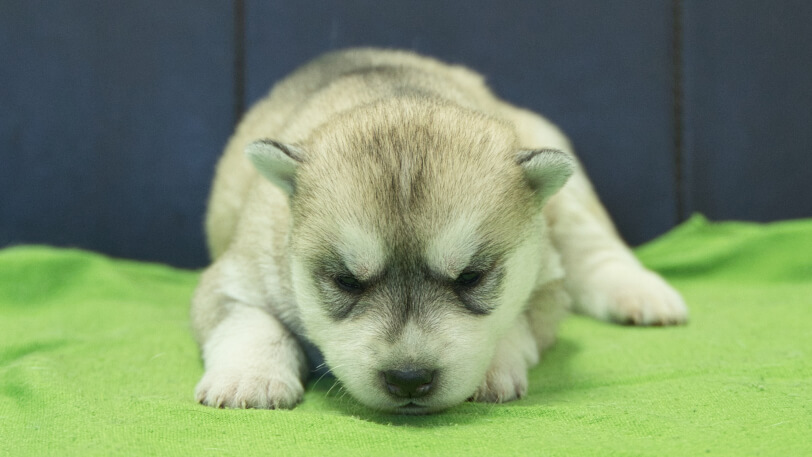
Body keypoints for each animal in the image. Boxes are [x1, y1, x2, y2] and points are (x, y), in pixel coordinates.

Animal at [189, 48, 684, 412]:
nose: (409, 380)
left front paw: (494, 366)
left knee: (594, 246)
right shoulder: (236, 275)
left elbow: (517, 323)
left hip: (562, 174)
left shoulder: (546, 287)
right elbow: (250, 322)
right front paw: (249, 377)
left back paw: (642, 294)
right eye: (346, 281)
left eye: (471, 277)